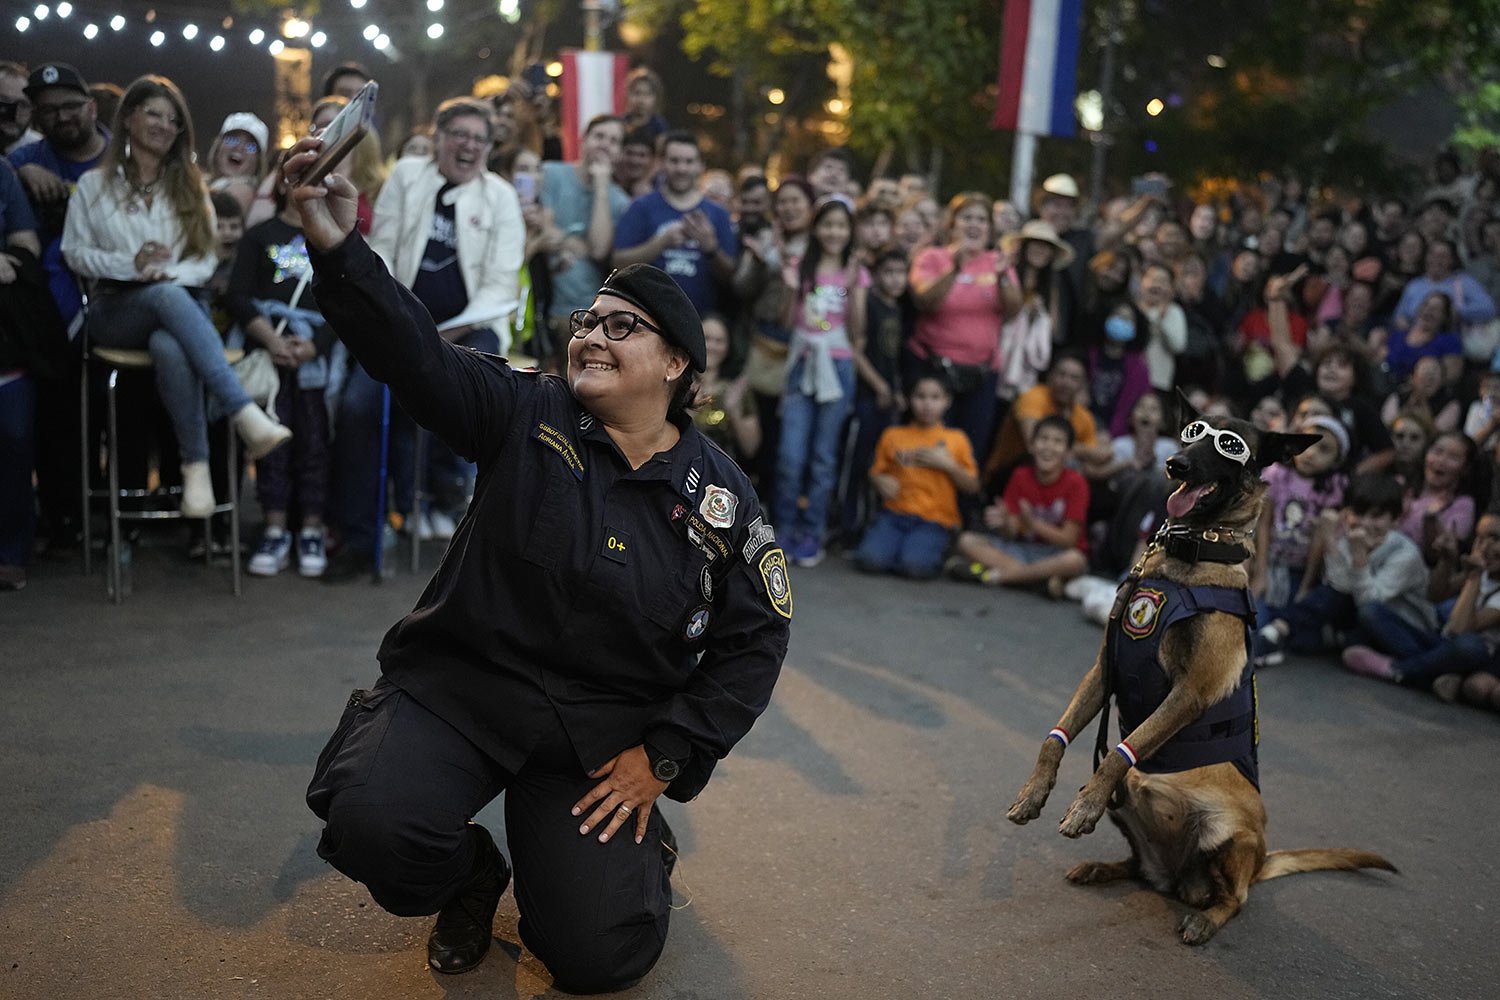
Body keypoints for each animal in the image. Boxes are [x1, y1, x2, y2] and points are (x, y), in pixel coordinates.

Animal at [1008, 392, 1392, 947]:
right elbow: (1054, 740)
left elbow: (1118, 753)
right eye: (1193, 433)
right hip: (1135, 815)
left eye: (1229, 446)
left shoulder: (1189, 692)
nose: (1175, 464)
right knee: (1140, 867)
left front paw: (1083, 806)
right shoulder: (1102, 671)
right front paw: (1033, 793)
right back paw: (1104, 868)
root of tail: (1181, 878)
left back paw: (1204, 918)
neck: (1189, 555)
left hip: (1230, 836)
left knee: (1235, 899)